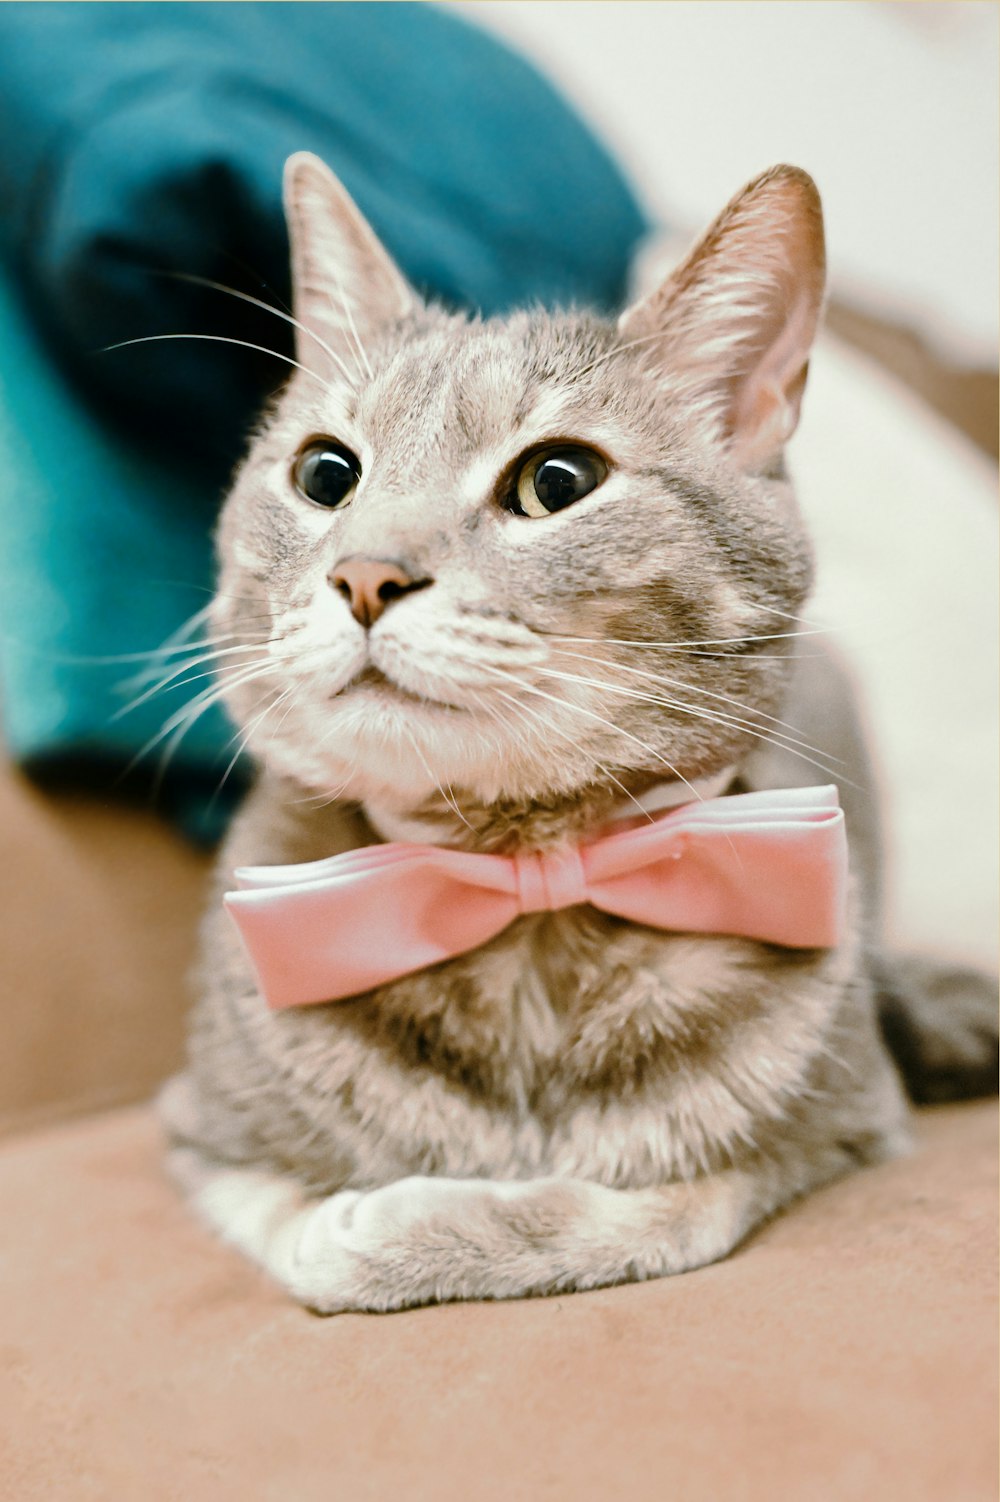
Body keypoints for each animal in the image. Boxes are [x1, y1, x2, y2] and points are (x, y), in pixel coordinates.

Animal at [159, 152, 990, 1315]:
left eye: (558, 481)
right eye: (326, 473)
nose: (363, 575)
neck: (522, 883)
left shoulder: (848, 1127)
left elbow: (663, 1199)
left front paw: (420, 1224)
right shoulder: (199, 1134)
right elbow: (292, 1219)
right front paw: (365, 1219)